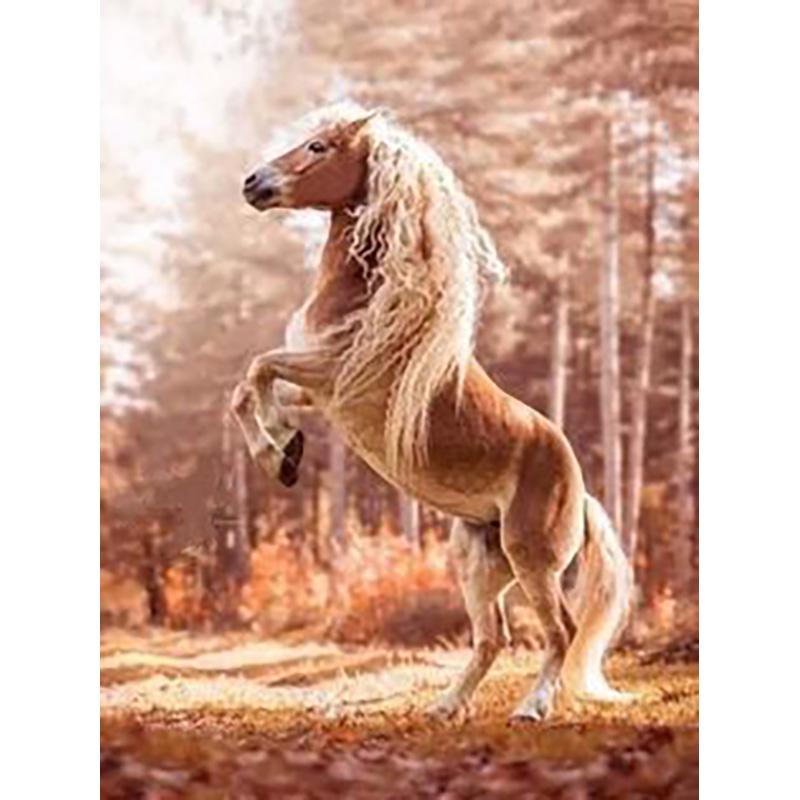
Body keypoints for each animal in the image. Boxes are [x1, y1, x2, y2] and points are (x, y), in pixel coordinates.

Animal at [231, 103, 631, 722]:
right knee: (492, 637)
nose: (254, 182)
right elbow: (249, 390)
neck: (373, 299)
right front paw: (286, 446)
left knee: (559, 631)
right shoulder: (320, 393)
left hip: (532, 559)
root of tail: (582, 493)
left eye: (319, 147)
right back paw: (446, 706)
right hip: (478, 560)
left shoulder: (333, 376)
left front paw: (279, 458)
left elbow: (258, 369)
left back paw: (531, 708)